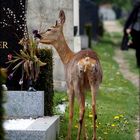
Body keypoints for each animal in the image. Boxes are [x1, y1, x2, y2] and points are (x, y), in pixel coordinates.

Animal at [34, 10, 103, 140]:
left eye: (49, 28)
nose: (37, 35)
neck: (67, 59)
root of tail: (87, 61)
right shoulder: (84, 89)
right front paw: (86, 136)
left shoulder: (69, 86)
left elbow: (70, 112)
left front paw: (69, 136)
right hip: (95, 82)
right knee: (93, 107)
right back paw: (93, 137)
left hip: (76, 81)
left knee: (81, 109)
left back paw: (76, 137)